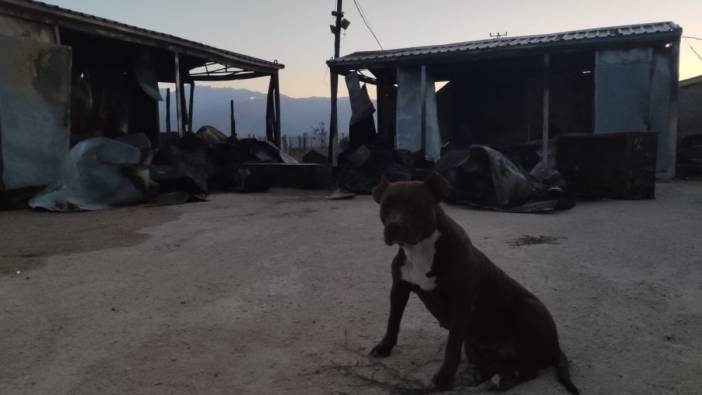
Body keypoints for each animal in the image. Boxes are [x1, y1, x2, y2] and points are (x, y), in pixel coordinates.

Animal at [372, 173, 580, 392]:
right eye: (386, 205)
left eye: (416, 205)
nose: (394, 225)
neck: (421, 250)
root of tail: (556, 347)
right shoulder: (399, 289)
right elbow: (393, 321)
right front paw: (384, 347)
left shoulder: (461, 304)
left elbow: (452, 345)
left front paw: (445, 378)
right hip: (475, 346)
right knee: (499, 364)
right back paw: (486, 376)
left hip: (530, 309)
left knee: (530, 368)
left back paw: (504, 379)